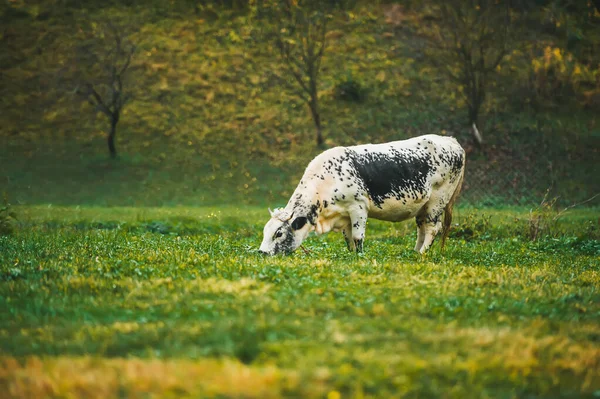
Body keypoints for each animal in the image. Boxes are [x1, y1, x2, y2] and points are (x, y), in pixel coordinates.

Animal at [258, 135, 464, 256]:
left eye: (279, 233)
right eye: (265, 231)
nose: (261, 252)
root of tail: (450, 140)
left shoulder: (358, 206)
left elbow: (358, 236)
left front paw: (360, 257)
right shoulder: (344, 215)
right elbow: (348, 238)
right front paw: (351, 255)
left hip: (438, 200)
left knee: (432, 228)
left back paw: (421, 254)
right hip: (424, 205)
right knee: (422, 228)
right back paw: (415, 252)